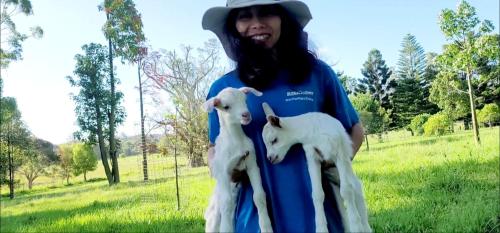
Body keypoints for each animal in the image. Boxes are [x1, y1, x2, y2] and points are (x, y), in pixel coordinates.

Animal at [202, 87, 274, 233]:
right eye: (226, 107)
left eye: (244, 100)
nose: (246, 115)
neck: (236, 142)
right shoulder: (223, 172)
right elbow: (226, 203)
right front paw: (226, 229)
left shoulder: (251, 163)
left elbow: (259, 196)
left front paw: (266, 227)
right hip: (213, 217)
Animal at [260, 103, 370, 233]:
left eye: (274, 140)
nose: (270, 158)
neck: (313, 132)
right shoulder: (312, 156)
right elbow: (317, 194)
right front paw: (321, 228)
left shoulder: (340, 152)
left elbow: (347, 190)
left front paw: (356, 227)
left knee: (356, 188)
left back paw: (364, 227)